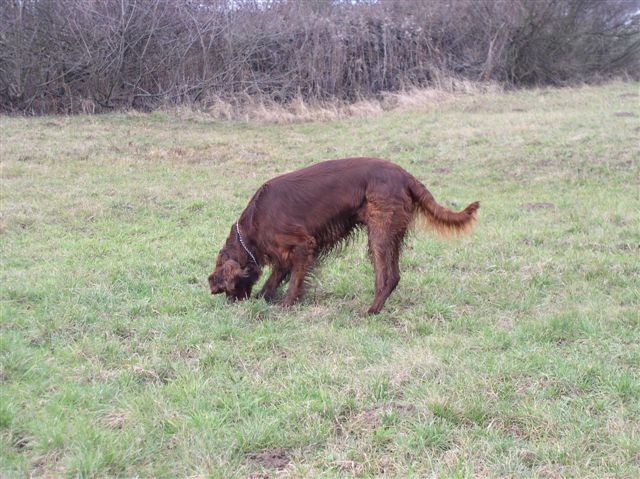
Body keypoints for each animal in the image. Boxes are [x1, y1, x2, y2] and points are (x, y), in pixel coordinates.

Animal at [210, 158, 480, 316]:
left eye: (224, 289)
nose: (230, 304)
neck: (252, 225)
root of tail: (405, 175)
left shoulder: (303, 245)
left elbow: (294, 281)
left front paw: (285, 305)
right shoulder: (286, 254)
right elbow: (275, 278)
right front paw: (264, 298)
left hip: (379, 232)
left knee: (387, 276)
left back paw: (371, 311)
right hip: (390, 232)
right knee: (393, 275)